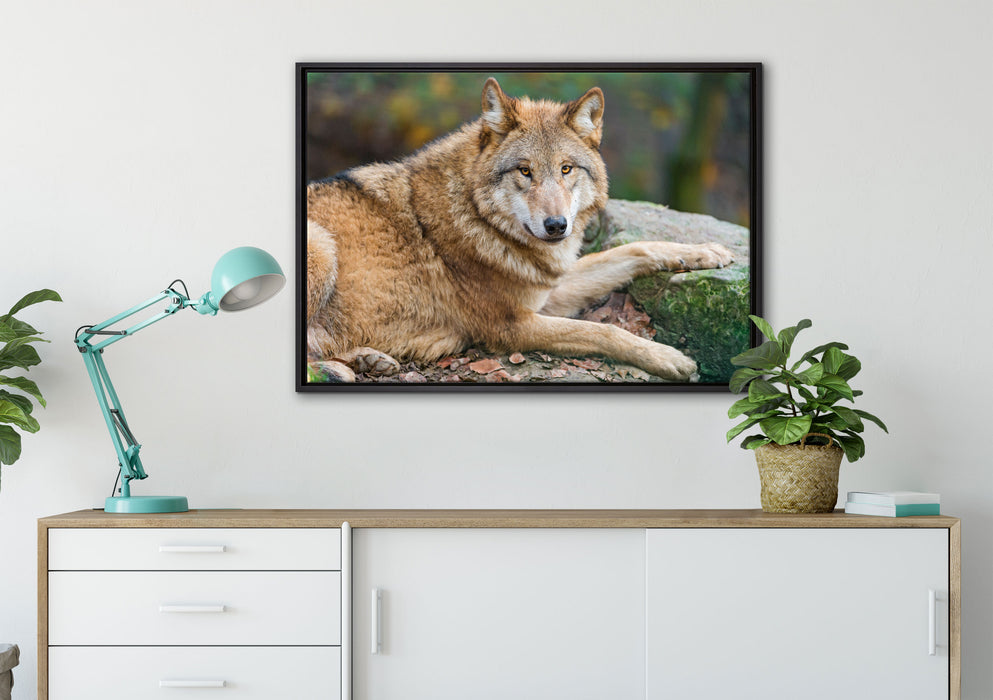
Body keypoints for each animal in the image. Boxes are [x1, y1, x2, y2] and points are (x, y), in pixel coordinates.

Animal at [306, 78, 733, 382]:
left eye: (566, 169)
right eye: (525, 171)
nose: (557, 226)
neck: (478, 217)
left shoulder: (548, 289)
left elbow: (633, 249)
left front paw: (705, 252)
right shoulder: (513, 326)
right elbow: (603, 332)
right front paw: (668, 357)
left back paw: (368, 359)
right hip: (322, 246)